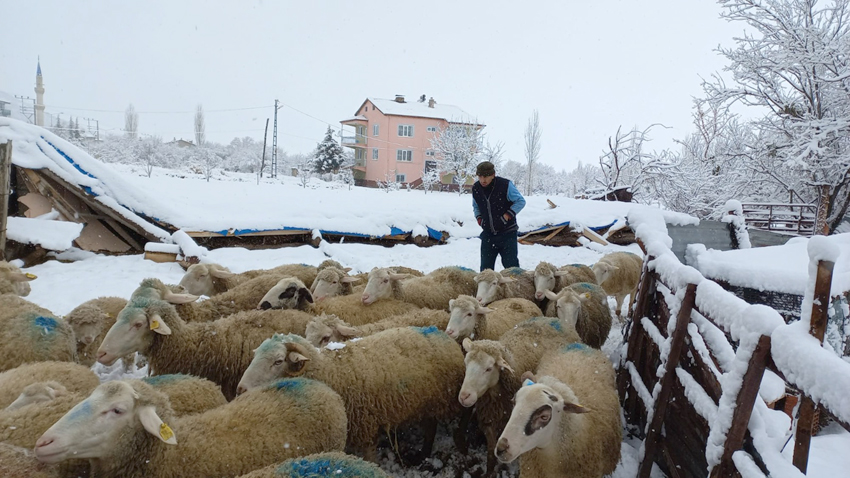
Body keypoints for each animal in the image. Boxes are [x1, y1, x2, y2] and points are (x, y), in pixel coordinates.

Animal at [237, 328, 464, 464]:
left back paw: (425, 453)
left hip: (438, 399)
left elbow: (370, 456)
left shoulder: (367, 425)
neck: (330, 370)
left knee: (432, 426)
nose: (241, 390)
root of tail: (442, 334)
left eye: (278, 361)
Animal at [458, 316, 584, 476]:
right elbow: (491, 453)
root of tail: (553, 319)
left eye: (488, 368)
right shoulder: (490, 422)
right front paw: (489, 471)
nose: (464, 396)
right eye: (466, 363)